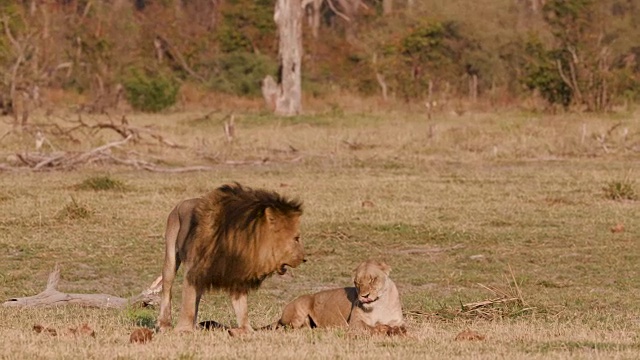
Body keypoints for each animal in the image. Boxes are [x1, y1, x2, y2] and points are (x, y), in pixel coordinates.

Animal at [156, 183, 304, 334]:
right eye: (296, 238)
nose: (304, 258)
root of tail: (181, 203)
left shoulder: (236, 274)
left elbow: (241, 307)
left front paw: (246, 329)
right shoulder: (194, 270)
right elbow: (187, 302)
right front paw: (183, 330)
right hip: (171, 257)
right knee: (167, 288)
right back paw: (164, 324)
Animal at [268, 258, 408, 334]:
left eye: (373, 280)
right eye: (357, 283)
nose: (364, 296)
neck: (378, 305)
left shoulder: (398, 321)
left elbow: (402, 328)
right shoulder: (354, 323)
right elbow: (369, 327)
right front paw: (383, 329)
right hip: (302, 304)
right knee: (292, 329)